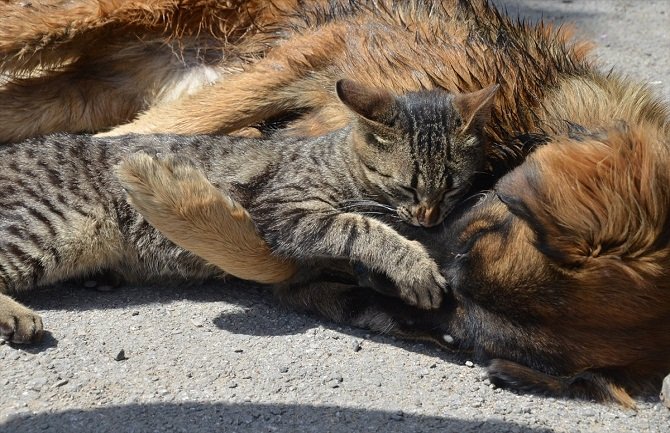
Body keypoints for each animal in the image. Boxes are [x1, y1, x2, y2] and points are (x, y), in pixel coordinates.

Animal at [0, 77, 498, 340]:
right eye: (406, 187)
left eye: (452, 187)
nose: (429, 218)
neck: (340, 162)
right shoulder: (283, 212)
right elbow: (360, 226)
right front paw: (413, 265)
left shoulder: (304, 284)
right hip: (50, 227)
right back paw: (16, 315)